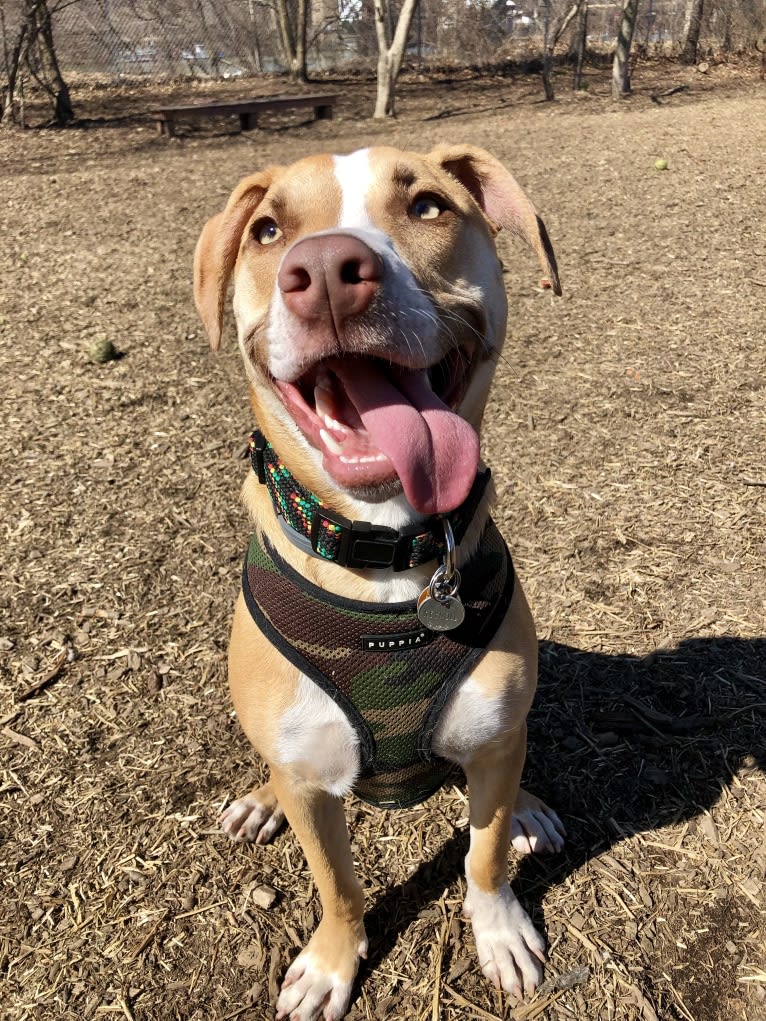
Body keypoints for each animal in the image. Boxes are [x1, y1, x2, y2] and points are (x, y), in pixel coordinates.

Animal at [196, 143, 571, 1021]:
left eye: (428, 206)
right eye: (268, 231)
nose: (329, 271)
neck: (387, 552)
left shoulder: (493, 742)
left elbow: (484, 857)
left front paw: (500, 930)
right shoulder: (312, 785)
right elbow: (337, 884)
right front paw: (332, 963)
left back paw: (532, 807)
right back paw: (259, 801)